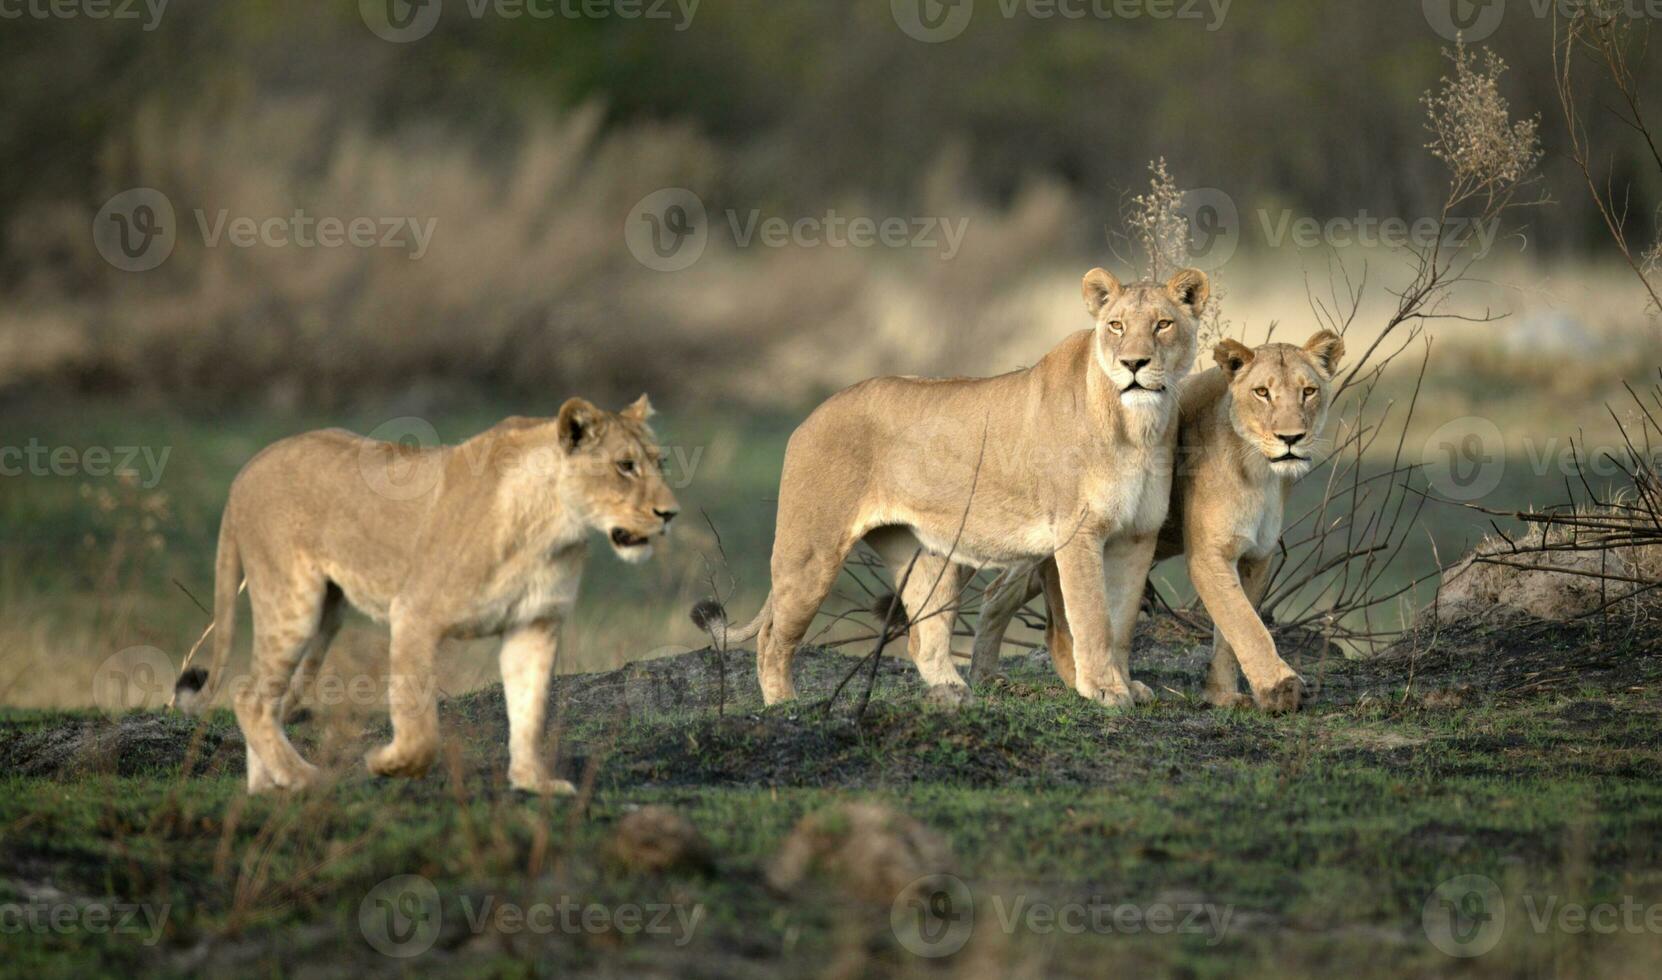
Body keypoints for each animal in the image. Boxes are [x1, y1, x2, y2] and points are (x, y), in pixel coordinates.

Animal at [172, 395, 678, 793]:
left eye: (660, 463)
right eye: (625, 466)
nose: (669, 514)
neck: (553, 527)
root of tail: (246, 470)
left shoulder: (534, 625)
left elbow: (530, 711)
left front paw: (533, 781)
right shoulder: (414, 613)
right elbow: (419, 726)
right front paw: (385, 763)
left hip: (325, 617)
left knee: (266, 697)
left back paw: (269, 788)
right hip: (292, 603)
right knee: (248, 696)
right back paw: (302, 778)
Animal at [701, 269, 1209, 710]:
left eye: (1162, 324)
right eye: (1116, 326)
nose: (1134, 364)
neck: (1138, 425)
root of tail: (811, 414)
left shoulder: (1136, 536)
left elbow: (1121, 622)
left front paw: (1126, 685)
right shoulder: (1077, 533)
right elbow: (1091, 617)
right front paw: (1104, 691)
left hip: (930, 558)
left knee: (922, 637)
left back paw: (953, 693)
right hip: (812, 551)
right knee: (772, 637)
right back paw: (783, 705)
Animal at [977, 332, 1342, 714]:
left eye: (1308, 391)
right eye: (1262, 392)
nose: (1291, 438)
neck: (1261, 473)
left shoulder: (1257, 557)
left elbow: (1231, 632)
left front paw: (1223, 695)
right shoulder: (1209, 556)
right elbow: (1246, 625)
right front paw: (1281, 687)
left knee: (996, 592)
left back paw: (985, 676)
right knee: (1055, 626)